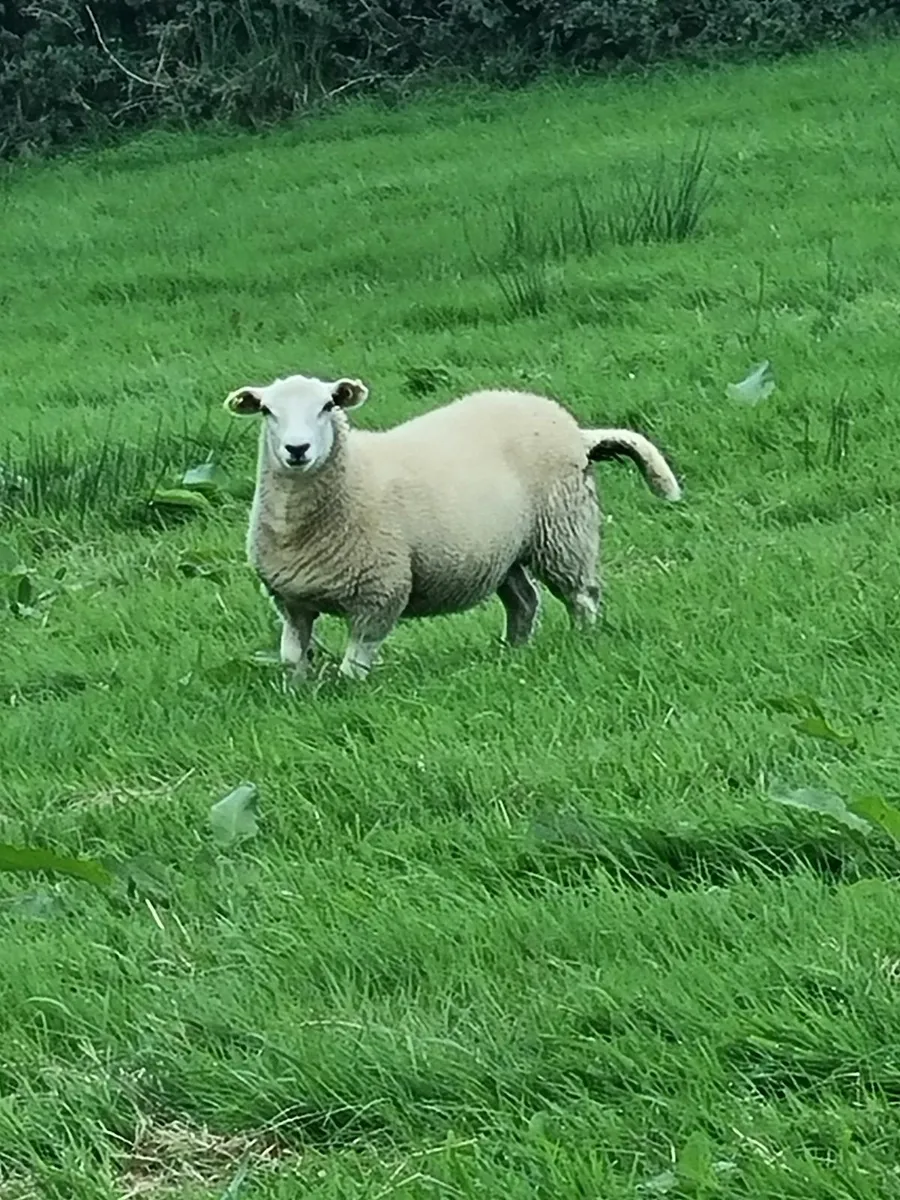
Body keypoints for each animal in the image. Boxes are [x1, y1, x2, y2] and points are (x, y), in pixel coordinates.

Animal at [223, 372, 681, 680]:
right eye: (267, 411)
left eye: (328, 406)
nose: (296, 449)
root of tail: (577, 432)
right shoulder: (290, 599)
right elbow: (291, 658)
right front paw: (298, 693)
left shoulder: (381, 593)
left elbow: (355, 664)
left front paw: (349, 692)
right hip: (502, 551)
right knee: (524, 601)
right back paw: (513, 652)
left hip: (563, 531)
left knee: (582, 595)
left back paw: (582, 641)